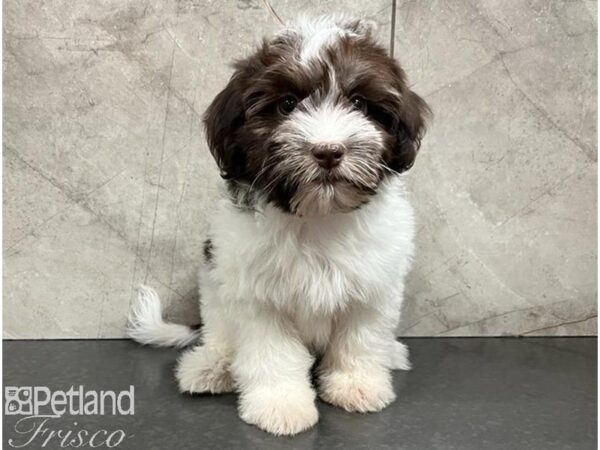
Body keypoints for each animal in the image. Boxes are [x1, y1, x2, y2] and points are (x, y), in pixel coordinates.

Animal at [129, 14, 428, 436]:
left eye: (358, 103)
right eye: (287, 104)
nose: (328, 151)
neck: (318, 218)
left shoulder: (372, 289)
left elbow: (360, 340)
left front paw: (357, 385)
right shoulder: (257, 297)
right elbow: (272, 353)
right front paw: (280, 404)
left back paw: (392, 353)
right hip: (214, 288)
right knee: (219, 332)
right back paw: (211, 366)